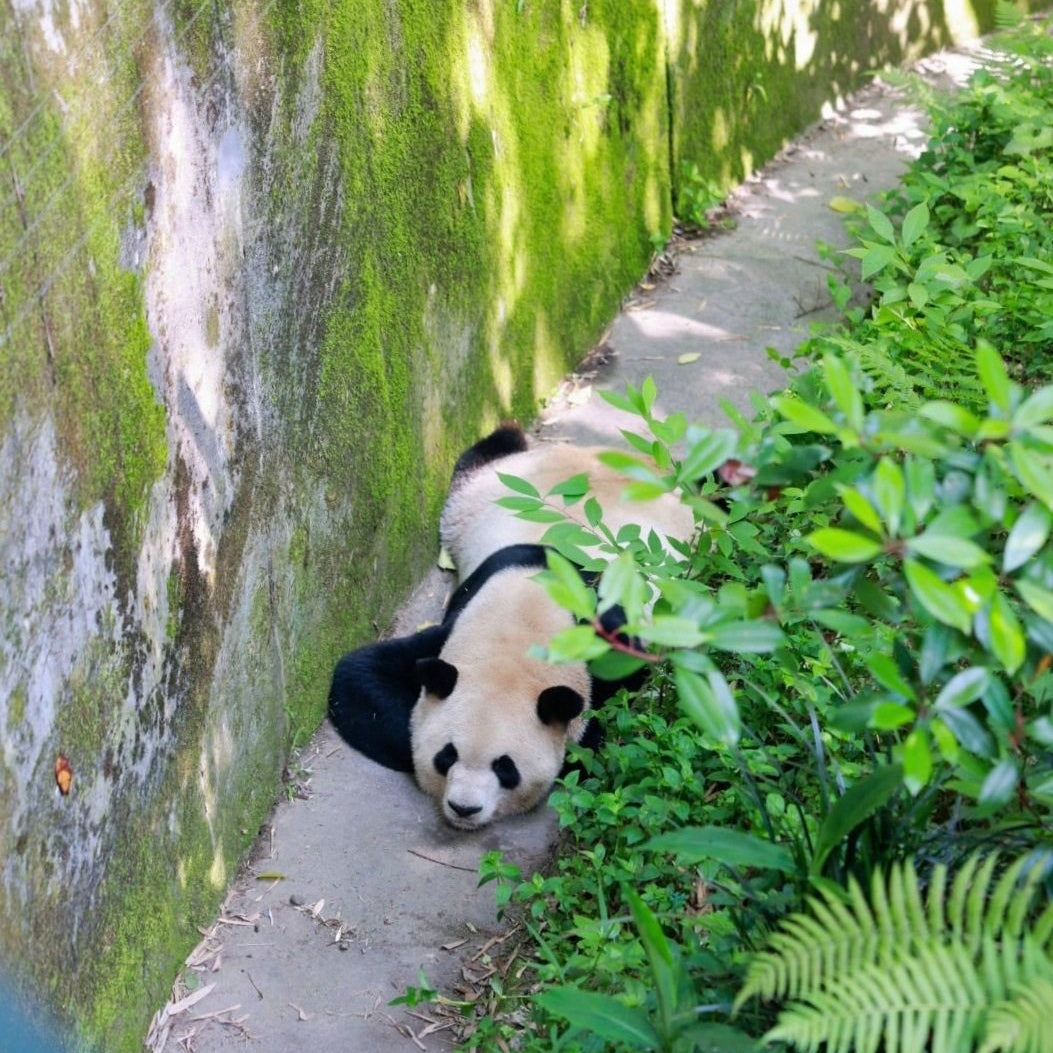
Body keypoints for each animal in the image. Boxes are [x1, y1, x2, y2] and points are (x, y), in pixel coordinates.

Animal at [328, 423, 694, 829]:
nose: (464, 808)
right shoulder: (455, 621)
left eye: (506, 768)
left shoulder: (607, 635)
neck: (522, 617)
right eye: (446, 756)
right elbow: (359, 678)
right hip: (473, 494)